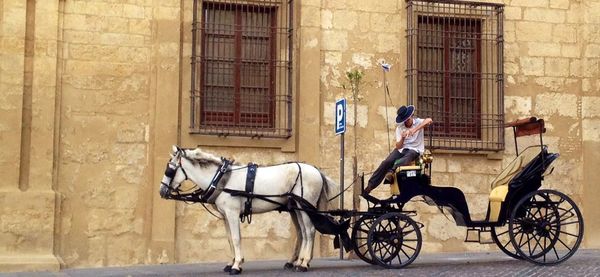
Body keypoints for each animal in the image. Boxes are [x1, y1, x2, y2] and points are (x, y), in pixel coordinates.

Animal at [159, 146, 338, 272]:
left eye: (170, 169)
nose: (162, 191)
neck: (221, 179)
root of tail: (317, 171)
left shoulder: (232, 213)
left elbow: (236, 238)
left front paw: (236, 265)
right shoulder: (225, 215)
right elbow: (230, 239)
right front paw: (231, 262)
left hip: (304, 206)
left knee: (309, 231)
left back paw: (304, 263)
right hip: (296, 208)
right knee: (302, 232)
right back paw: (298, 261)